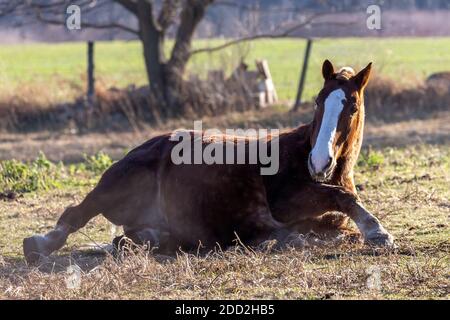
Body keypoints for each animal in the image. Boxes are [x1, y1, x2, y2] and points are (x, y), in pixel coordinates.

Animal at [22, 60, 394, 264]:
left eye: (352, 107)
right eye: (318, 101)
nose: (319, 162)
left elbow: (339, 221)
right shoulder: (286, 200)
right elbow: (340, 199)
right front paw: (377, 231)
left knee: (131, 240)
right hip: (114, 187)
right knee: (75, 214)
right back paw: (39, 244)